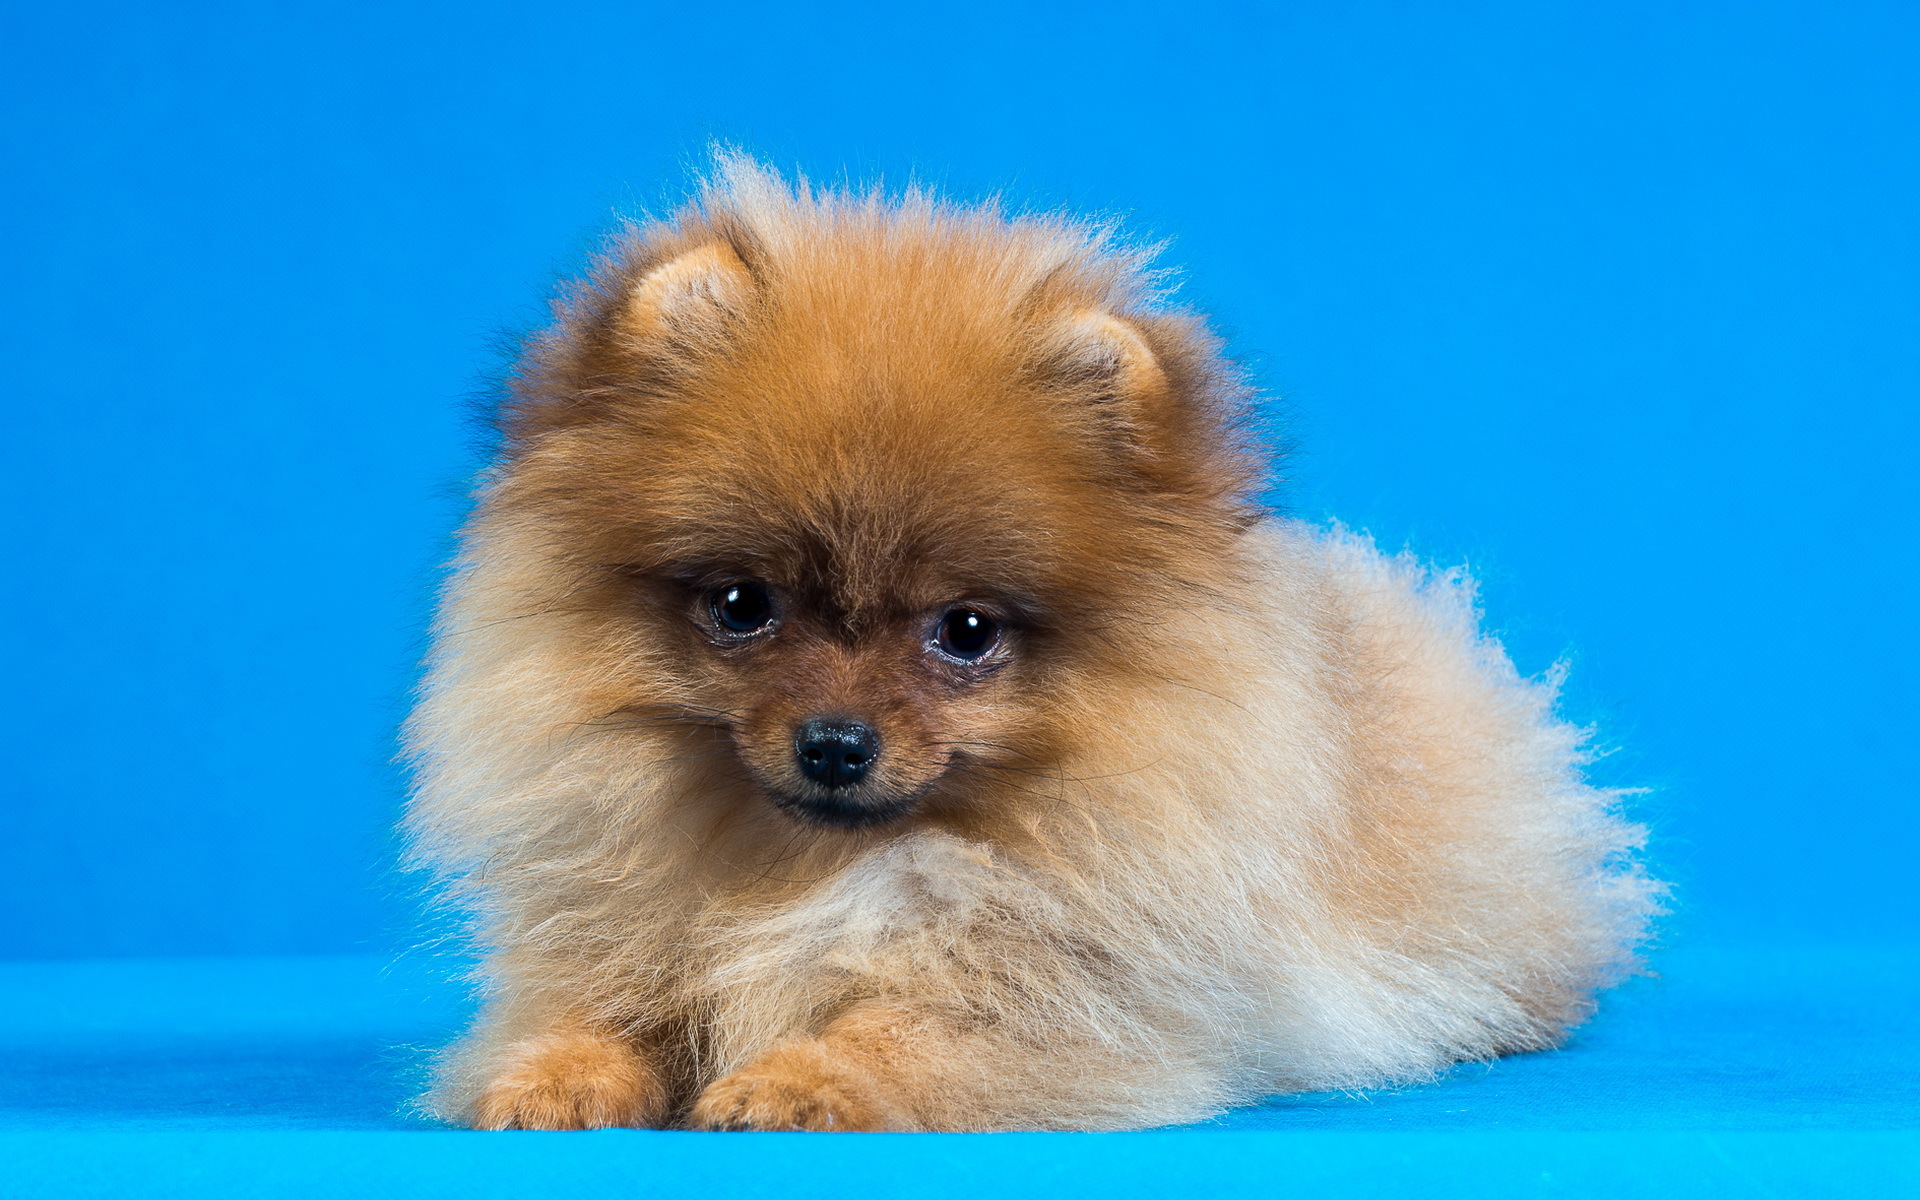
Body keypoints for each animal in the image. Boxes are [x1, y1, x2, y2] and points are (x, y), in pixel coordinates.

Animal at [397, 154, 1658, 1128]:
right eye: (743, 605)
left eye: (965, 631)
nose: (835, 744)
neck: (805, 866)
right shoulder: (614, 932)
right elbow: (596, 1012)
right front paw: (553, 1076)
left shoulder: (1082, 995)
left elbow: (907, 1028)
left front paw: (795, 1082)